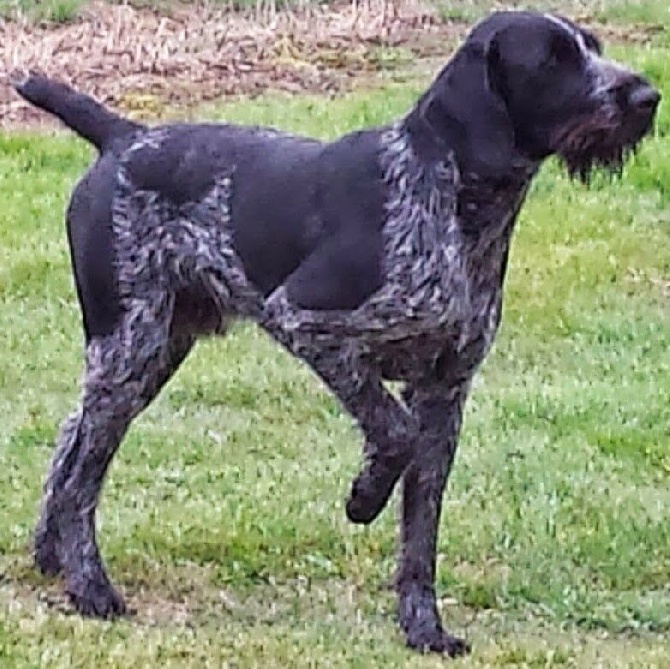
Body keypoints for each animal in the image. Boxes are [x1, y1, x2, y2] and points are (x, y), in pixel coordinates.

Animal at [11, 9, 660, 656]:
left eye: (594, 47)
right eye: (553, 59)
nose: (647, 97)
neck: (453, 202)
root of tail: (124, 138)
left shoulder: (445, 391)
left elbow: (420, 534)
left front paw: (423, 627)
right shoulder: (307, 320)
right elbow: (393, 432)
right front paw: (364, 496)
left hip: (151, 350)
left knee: (71, 439)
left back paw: (51, 556)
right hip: (131, 344)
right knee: (84, 473)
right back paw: (90, 588)